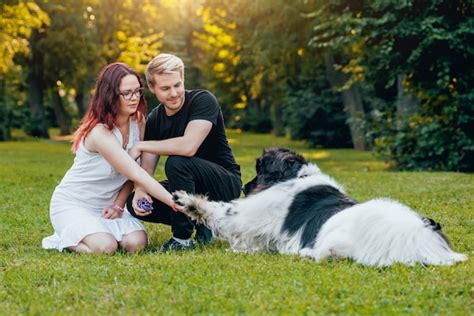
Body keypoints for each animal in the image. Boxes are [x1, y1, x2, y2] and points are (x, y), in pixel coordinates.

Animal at [174, 147, 466, 266]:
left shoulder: (250, 216)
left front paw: (188, 200)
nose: (246, 187)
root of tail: (417, 237)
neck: (297, 176)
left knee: (327, 254)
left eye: (260, 170)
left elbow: (221, 211)